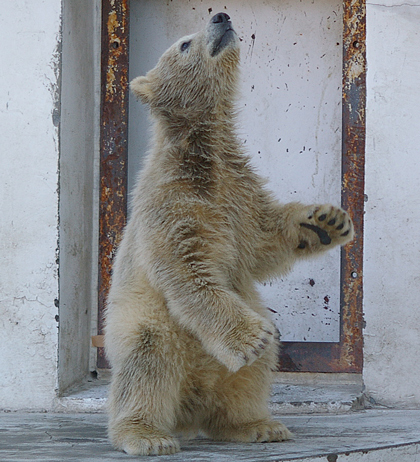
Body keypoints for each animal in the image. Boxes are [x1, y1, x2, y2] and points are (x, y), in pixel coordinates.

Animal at [104, 12, 352, 456]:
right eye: (184, 44)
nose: (221, 16)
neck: (201, 156)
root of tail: (189, 407)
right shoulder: (172, 203)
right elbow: (188, 272)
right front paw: (249, 338)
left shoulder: (239, 193)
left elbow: (261, 242)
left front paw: (325, 222)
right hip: (152, 330)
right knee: (147, 364)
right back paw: (146, 434)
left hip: (226, 372)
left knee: (252, 376)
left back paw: (256, 424)